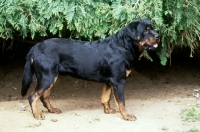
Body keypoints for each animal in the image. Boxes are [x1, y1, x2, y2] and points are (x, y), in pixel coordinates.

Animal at [21, 18, 159, 120]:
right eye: (146, 30)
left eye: (152, 28)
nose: (158, 36)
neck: (123, 46)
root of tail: (35, 48)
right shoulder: (118, 81)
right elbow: (121, 102)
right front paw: (126, 116)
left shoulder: (108, 81)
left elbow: (105, 97)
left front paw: (108, 110)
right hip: (47, 77)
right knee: (33, 96)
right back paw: (37, 114)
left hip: (54, 77)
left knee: (44, 96)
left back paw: (52, 109)